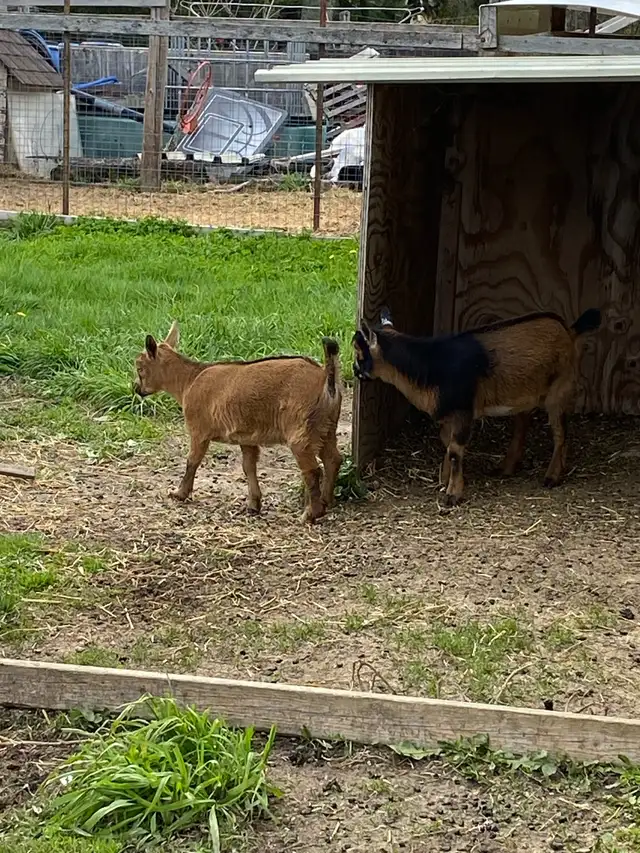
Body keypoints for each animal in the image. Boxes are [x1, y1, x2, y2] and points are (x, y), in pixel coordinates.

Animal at [134, 322, 343, 523]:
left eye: (139, 367)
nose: (136, 388)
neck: (189, 381)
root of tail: (326, 378)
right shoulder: (247, 437)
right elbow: (248, 466)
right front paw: (253, 504)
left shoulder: (198, 430)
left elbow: (192, 461)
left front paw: (179, 493)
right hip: (326, 426)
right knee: (333, 459)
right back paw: (327, 501)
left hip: (302, 429)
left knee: (313, 470)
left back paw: (311, 514)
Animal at [353, 307, 601, 505]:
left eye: (359, 352)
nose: (355, 371)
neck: (429, 365)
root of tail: (569, 330)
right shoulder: (450, 416)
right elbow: (447, 444)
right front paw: (445, 480)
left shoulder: (463, 411)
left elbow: (455, 450)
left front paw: (452, 495)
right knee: (523, 424)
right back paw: (507, 468)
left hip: (558, 391)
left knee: (560, 433)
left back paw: (552, 477)